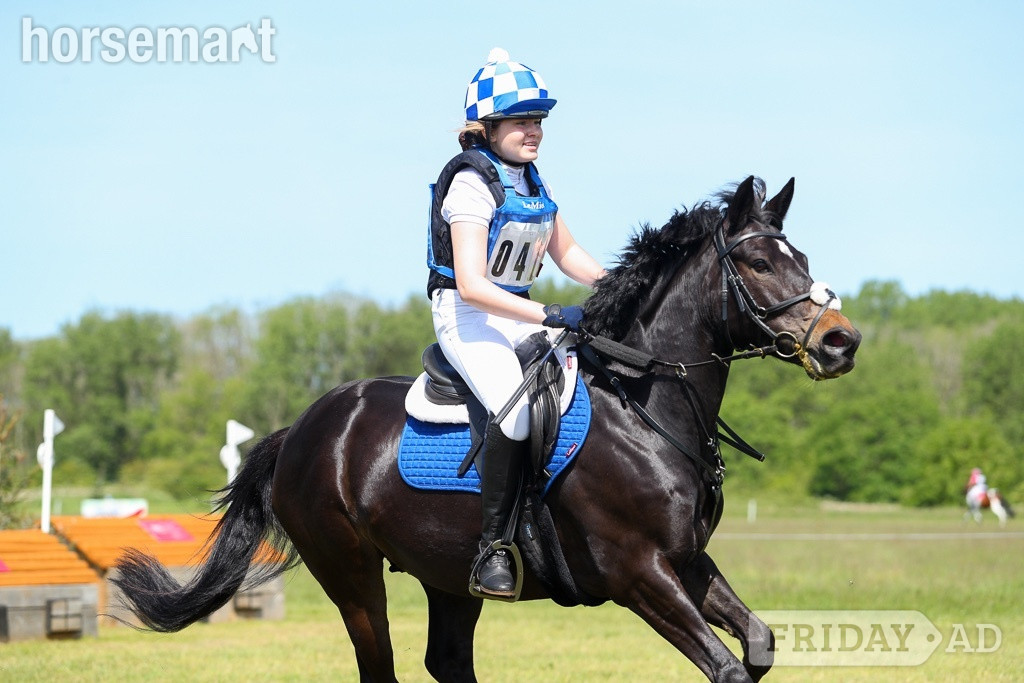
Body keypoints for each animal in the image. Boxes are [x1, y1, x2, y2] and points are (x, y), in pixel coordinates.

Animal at [112, 176, 861, 682]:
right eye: (759, 263)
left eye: (800, 257)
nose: (840, 341)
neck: (643, 409)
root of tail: (299, 429)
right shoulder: (636, 570)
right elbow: (726, 665)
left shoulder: (685, 559)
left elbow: (757, 643)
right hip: (351, 572)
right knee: (380, 663)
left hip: (447, 573)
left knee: (447, 660)